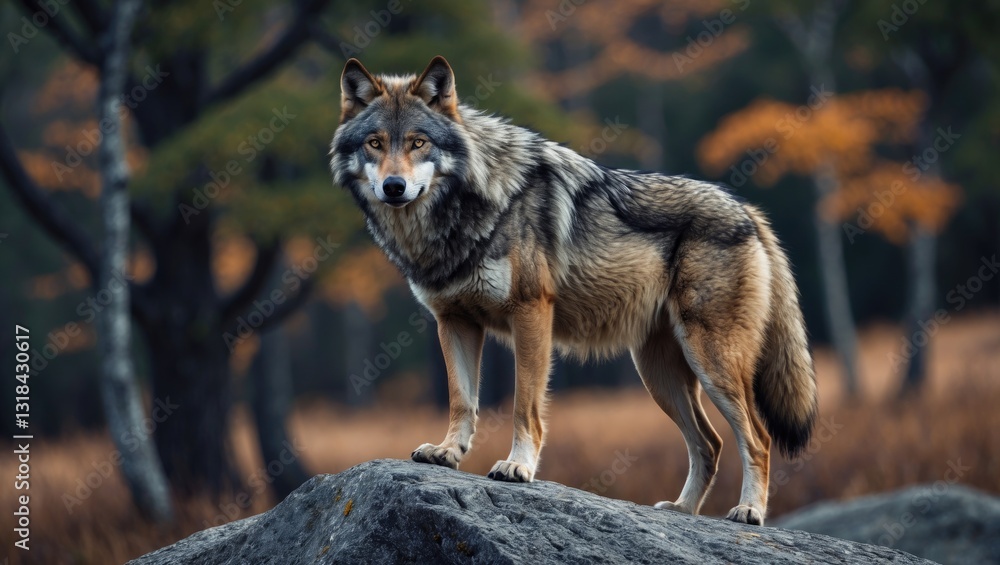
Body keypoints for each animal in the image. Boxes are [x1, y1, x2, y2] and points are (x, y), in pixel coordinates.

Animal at [330, 56, 818, 525]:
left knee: (757, 438)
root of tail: (748, 211)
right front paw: (448, 452)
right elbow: (460, 400)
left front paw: (518, 466)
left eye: (418, 143)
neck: (467, 209)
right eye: (375, 143)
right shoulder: (454, 322)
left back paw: (749, 512)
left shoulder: (530, 312)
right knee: (710, 443)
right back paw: (682, 511)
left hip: (711, 362)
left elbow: (524, 405)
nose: (394, 187)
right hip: (659, 374)